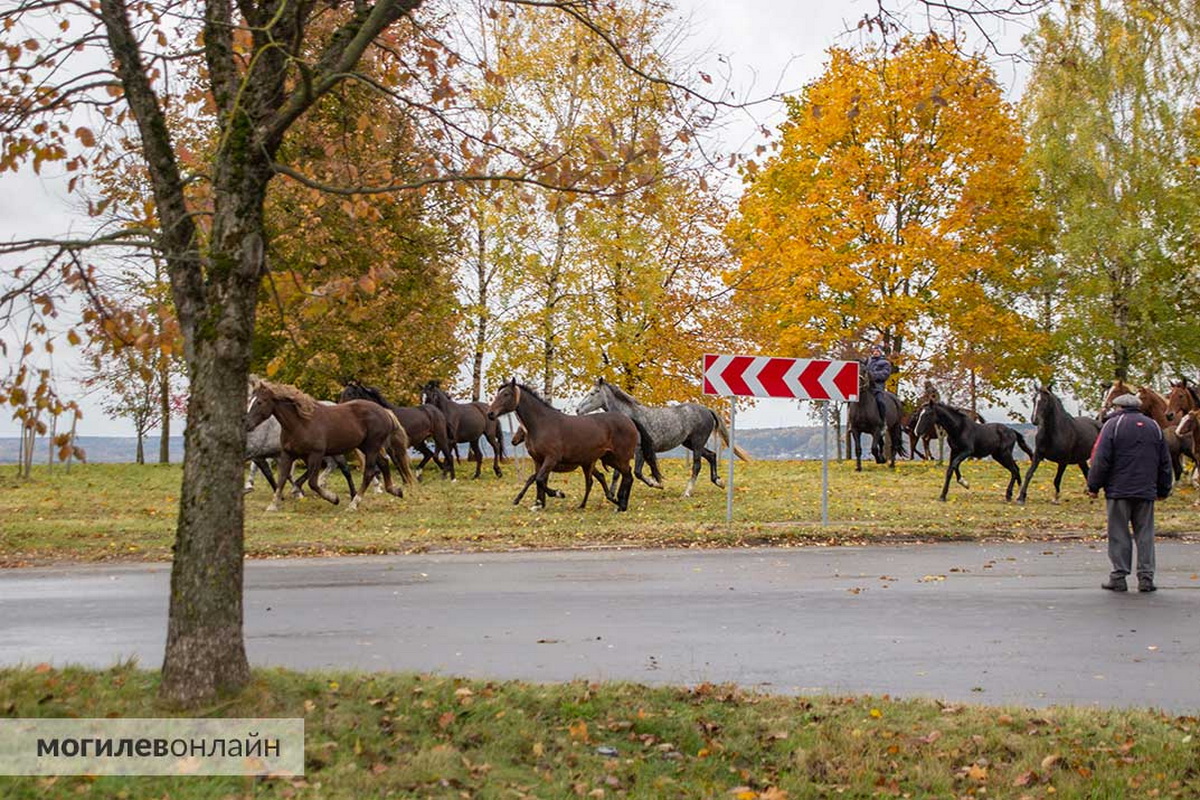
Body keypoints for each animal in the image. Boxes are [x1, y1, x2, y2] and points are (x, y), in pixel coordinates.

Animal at [487, 381, 657, 513]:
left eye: (506, 394)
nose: (490, 413)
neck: (542, 423)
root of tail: (629, 420)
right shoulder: (538, 460)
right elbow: (536, 480)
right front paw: (538, 504)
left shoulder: (551, 459)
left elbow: (540, 479)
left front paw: (558, 493)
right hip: (609, 458)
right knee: (624, 476)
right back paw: (618, 503)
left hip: (620, 458)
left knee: (627, 476)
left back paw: (620, 505)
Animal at [573, 379, 748, 496]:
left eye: (593, 393)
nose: (577, 410)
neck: (630, 418)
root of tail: (707, 410)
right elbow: (617, 473)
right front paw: (612, 494)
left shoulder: (639, 451)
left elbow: (637, 472)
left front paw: (657, 484)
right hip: (689, 443)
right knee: (711, 455)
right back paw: (719, 482)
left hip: (697, 443)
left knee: (697, 466)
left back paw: (687, 492)